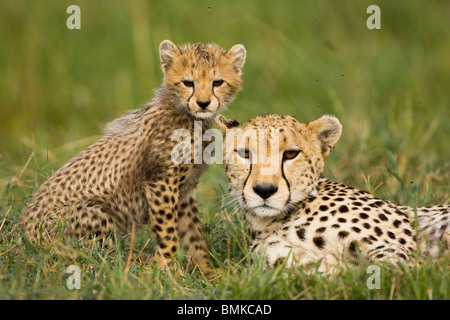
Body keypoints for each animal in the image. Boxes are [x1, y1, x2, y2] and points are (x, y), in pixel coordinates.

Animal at [22, 38, 246, 272]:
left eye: (217, 82)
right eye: (188, 82)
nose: (203, 103)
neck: (190, 118)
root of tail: (24, 238)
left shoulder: (184, 190)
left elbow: (193, 234)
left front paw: (207, 271)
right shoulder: (161, 184)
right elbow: (167, 232)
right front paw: (169, 271)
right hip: (93, 211)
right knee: (103, 259)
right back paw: (142, 264)